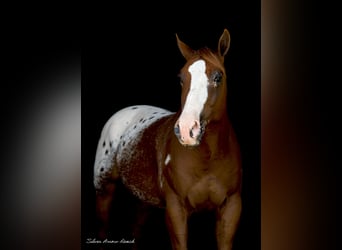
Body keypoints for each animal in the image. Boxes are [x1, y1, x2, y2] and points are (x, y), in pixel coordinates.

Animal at [93, 28, 243, 249]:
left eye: (218, 76)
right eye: (181, 78)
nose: (187, 129)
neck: (208, 159)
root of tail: (121, 114)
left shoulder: (231, 208)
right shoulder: (175, 209)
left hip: (143, 201)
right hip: (104, 190)